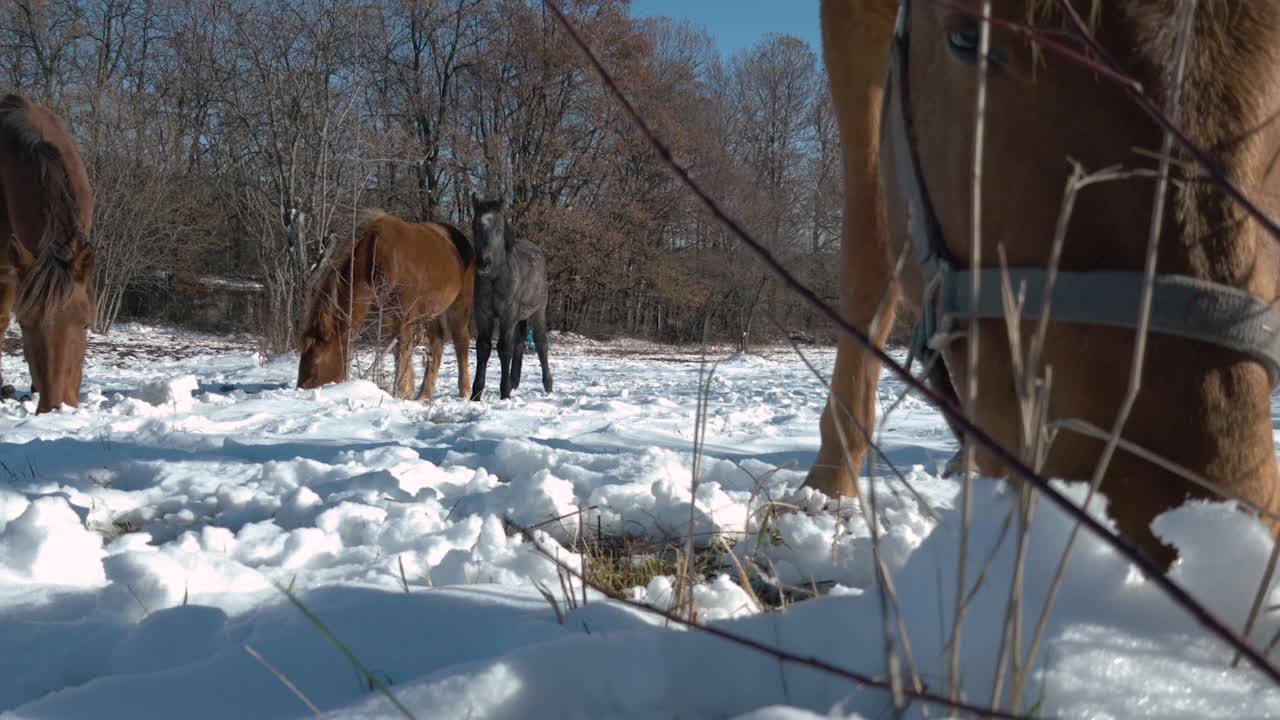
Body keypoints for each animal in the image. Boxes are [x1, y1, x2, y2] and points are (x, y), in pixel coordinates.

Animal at [297, 210, 474, 402]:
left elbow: (403, 351)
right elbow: (398, 351)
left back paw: (465, 392)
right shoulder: (390, 315)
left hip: (459, 306)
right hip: (433, 312)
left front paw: (401, 392)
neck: (375, 256)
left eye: (316, 360)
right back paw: (423, 395)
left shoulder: (405, 314)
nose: (301, 390)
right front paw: (407, 393)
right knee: (436, 346)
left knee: (461, 342)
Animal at [468, 195, 553, 401]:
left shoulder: (508, 314)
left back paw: (547, 385)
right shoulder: (483, 314)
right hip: (519, 318)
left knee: (540, 344)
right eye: (475, 227)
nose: (483, 262)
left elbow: (504, 348)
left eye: (499, 229)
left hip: (537, 312)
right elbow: (483, 348)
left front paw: (504, 392)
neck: (495, 278)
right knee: (520, 343)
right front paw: (476, 393)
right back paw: (515, 381)